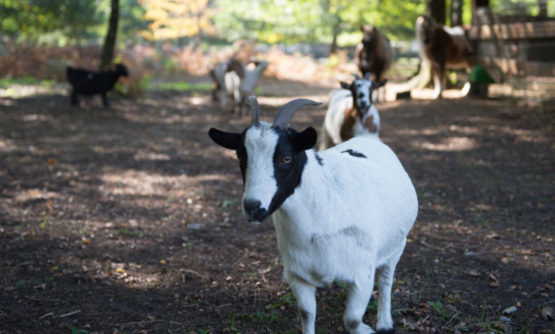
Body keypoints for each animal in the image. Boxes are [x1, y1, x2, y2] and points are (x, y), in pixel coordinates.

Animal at [208, 95, 416, 334]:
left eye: (286, 158)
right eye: (241, 157)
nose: (253, 207)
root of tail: (369, 138)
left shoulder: (362, 273)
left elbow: (352, 320)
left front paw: (368, 329)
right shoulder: (298, 276)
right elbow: (307, 313)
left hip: (397, 245)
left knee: (386, 280)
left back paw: (384, 323)